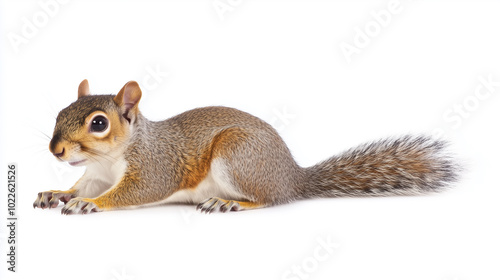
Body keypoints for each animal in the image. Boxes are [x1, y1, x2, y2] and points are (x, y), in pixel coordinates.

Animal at [33, 80, 458, 215]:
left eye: (99, 123)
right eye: (60, 113)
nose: (56, 151)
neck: (110, 159)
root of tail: (292, 178)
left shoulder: (154, 166)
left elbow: (135, 191)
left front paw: (91, 205)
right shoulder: (95, 174)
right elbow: (79, 186)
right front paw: (56, 192)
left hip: (237, 157)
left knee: (267, 199)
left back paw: (230, 203)